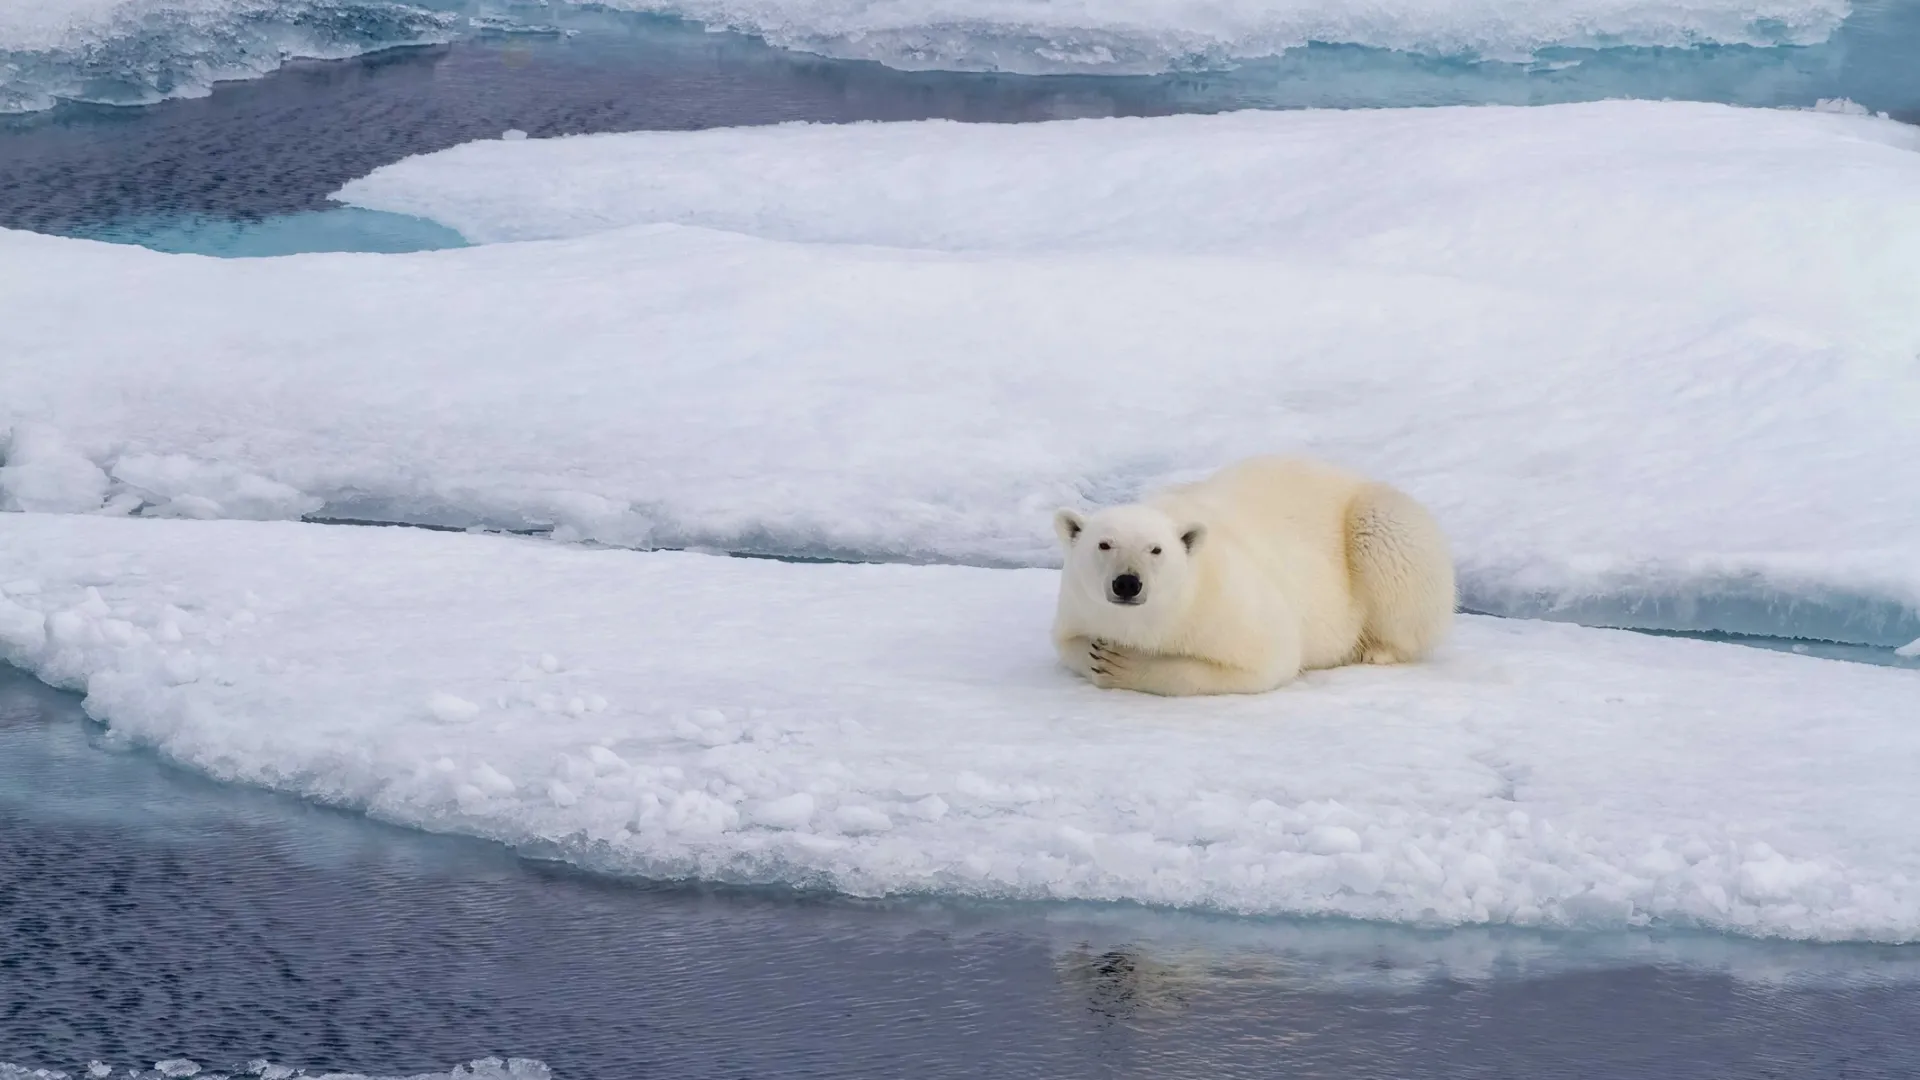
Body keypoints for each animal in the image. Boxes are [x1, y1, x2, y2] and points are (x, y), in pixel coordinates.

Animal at [1052, 451, 1451, 687]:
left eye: (1156, 549)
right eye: (1104, 544)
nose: (1127, 583)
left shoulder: (1221, 604)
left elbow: (1264, 659)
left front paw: (1121, 663)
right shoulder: (1078, 604)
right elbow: (1068, 644)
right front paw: (1096, 653)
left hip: (1382, 523)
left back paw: (1375, 650)